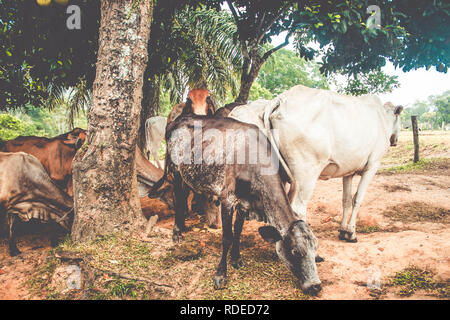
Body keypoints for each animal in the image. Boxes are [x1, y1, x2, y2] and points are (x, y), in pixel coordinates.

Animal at [229, 84, 404, 241]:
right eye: (398, 118)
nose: (395, 140)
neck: (382, 118)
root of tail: (281, 100)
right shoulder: (372, 165)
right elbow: (357, 199)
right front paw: (351, 233)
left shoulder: (348, 172)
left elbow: (346, 200)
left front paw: (343, 230)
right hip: (306, 174)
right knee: (297, 208)